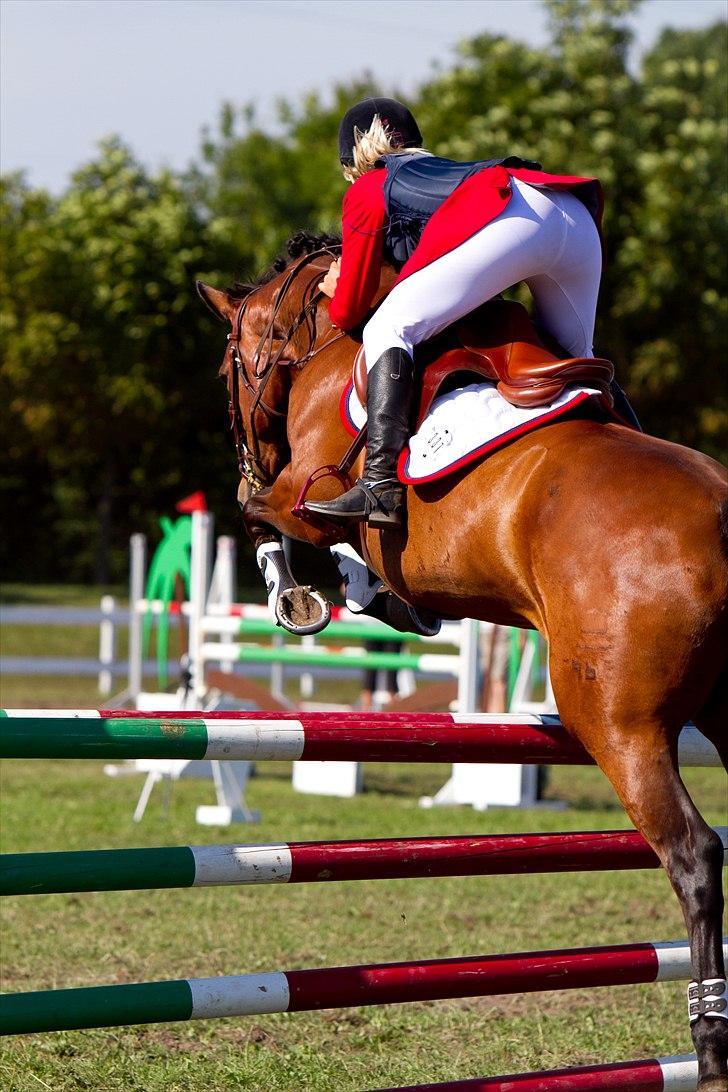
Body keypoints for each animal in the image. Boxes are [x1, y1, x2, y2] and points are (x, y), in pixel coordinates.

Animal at [195, 234, 728, 1087]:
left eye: (227, 368)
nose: (249, 453)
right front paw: (365, 594)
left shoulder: (303, 492)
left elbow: (262, 517)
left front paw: (302, 592)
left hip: (621, 726)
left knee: (694, 854)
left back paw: (709, 1041)